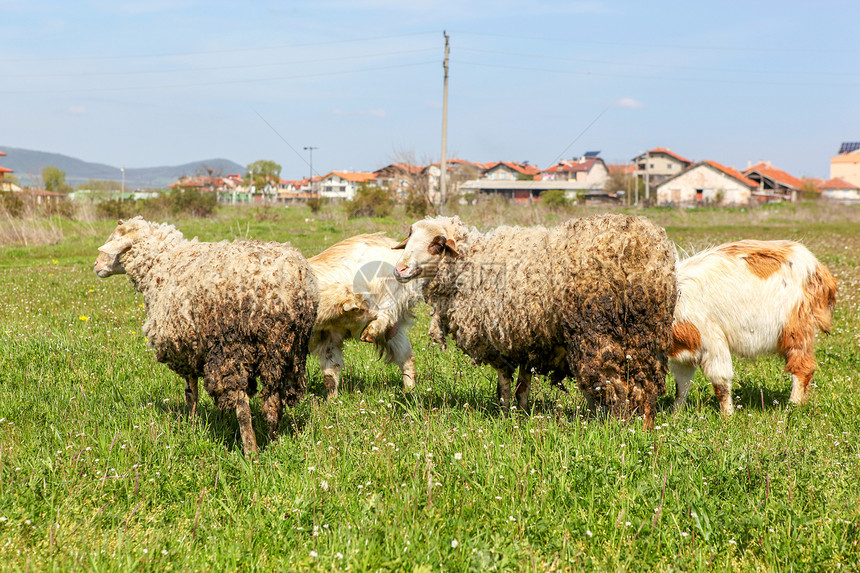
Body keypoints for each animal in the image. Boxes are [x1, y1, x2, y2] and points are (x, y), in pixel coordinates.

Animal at [92, 214, 320, 452]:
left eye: (114, 240)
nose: (96, 265)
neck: (161, 264)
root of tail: (287, 283)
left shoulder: (182, 344)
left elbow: (191, 390)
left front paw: (190, 424)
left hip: (232, 345)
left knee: (242, 404)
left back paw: (251, 451)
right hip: (287, 349)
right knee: (274, 400)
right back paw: (272, 442)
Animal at [310, 232, 424, 398]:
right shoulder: (329, 338)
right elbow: (330, 374)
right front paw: (332, 401)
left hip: (391, 297)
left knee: (386, 317)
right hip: (393, 333)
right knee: (406, 357)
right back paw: (409, 391)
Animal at [394, 212, 680, 426]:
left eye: (436, 244)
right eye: (409, 239)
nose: (399, 269)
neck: (471, 262)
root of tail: (639, 249)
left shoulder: (499, 339)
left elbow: (504, 384)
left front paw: (504, 414)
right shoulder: (527, 340)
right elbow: (523, 384)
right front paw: (521, 414)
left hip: (598, 332)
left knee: (615, 383)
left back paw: (615, 425)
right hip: (647, 332)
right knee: (646, 383)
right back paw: (643, 424)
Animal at [668, 239, 836, 414]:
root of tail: (818, 268)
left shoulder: (712, 342)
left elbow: (720, 383)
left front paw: (727, 415)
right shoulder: (685, 351)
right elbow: (681, 385)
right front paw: (676, 414)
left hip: (795, 329)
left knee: (803, 368)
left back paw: (792, 408)